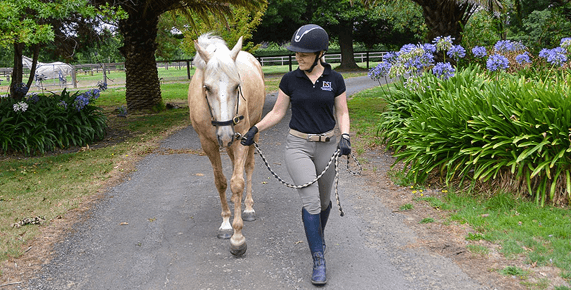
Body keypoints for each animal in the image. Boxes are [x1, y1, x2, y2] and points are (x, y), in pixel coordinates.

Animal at [189, 34, 268, 256]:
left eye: (236, 86)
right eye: (207, 87)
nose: (225, 134)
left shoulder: (242, 139)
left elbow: (238, 182)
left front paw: (237, 237)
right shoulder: (208, 144)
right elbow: (221, 182)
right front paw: (226, 223)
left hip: (252, 134)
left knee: (248, 168)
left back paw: (247, 207)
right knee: (234, 166)